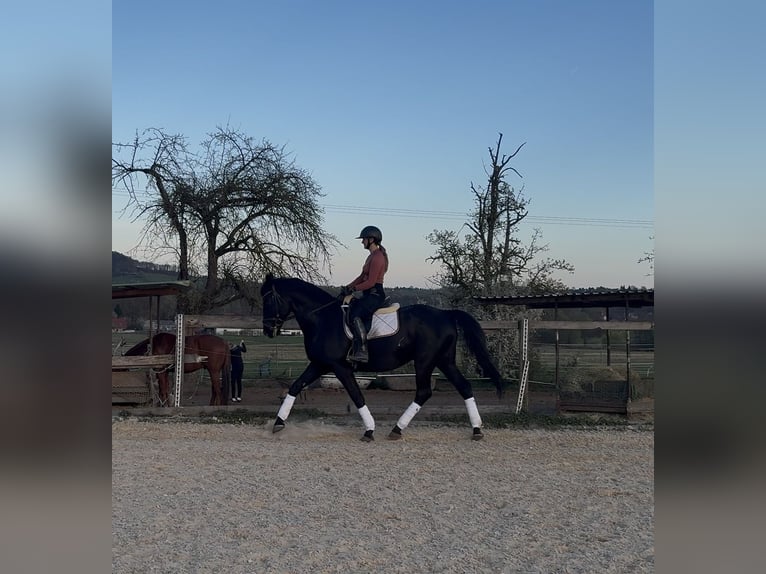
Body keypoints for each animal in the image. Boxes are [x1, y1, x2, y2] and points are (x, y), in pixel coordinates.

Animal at [261, 274, 504, 441]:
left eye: (268, 300)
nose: (267, 330)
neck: (323, 319)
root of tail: (445, 314)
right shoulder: (320, 364)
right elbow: (295, 386)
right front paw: (278, 423)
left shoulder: (339, 367)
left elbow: (357, 396)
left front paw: (369, 430)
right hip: (444, 361)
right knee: (464, 387)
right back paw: (476, 430)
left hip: (425, 361)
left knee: (424, 392)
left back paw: (397, 429)